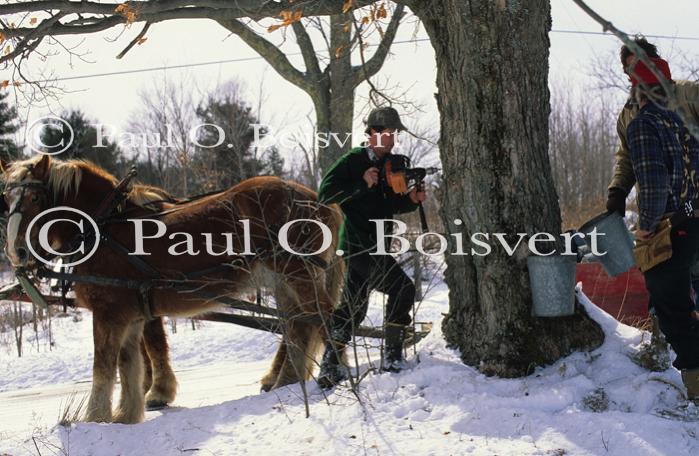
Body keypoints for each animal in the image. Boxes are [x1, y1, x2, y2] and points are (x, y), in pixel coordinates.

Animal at [1, 156, 344, 424]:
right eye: (7, 199)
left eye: (35, 199)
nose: (16, 252)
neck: (103, 228)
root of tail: (319, 199)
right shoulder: (131, 313)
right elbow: (129, 363)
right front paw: (126, 414)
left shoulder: (110, 312)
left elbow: (104, 365)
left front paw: (96, 418)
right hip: (284, 280)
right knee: (298, 326)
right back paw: (287, 380)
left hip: (298, 271)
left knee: (326, 317)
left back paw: (333, 373)